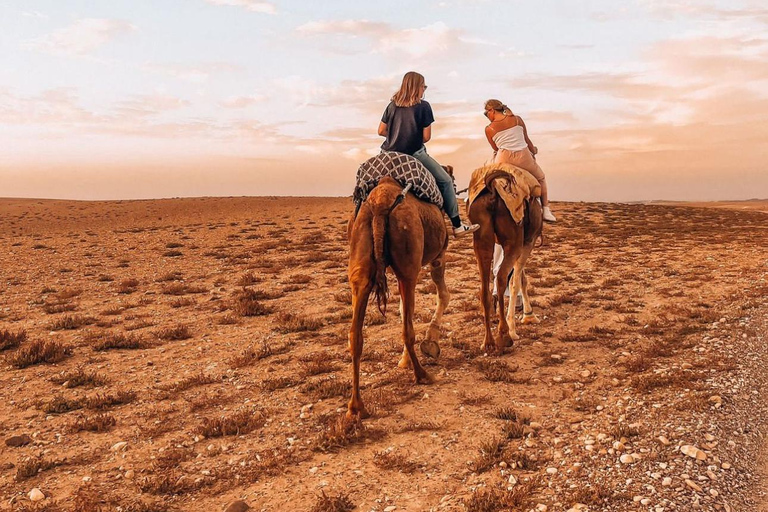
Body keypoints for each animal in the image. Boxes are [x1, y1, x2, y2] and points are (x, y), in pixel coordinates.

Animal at [344, 177, 448, 420]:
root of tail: (379, 205)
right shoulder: (438, 256)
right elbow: (442, 295)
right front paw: (429, 344)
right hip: (409, 263)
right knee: (407, 329)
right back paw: (422, 375)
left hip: (360, 263)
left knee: (355, 335)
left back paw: (356, 406)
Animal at [464, 179, 544, 352]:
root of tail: (493, 191)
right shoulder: (528, 241)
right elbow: (516, 282)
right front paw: (523, 320)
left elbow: (521, 279)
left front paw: (528, 315)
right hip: (513, 242)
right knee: (501, 277)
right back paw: (505, 335)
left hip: (481, 238)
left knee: (485, 285)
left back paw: (488, 342)